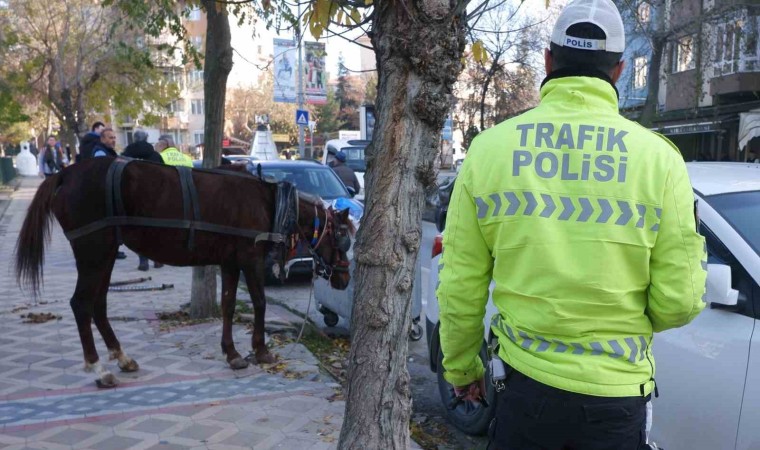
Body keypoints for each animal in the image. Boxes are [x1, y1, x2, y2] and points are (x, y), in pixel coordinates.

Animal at [14, 157, 354, 386]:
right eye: (342, 238)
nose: (344, 278)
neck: (269, 202)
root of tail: (66, 173)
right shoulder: (250, 258)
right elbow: (259, 302)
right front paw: (260, 350)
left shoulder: (230, 262)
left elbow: (229, 305)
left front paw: (232, 353)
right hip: (93, 252)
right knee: (81, 305)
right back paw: (99, 369)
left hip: (107, 253)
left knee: (98, 304)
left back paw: (122, 357)